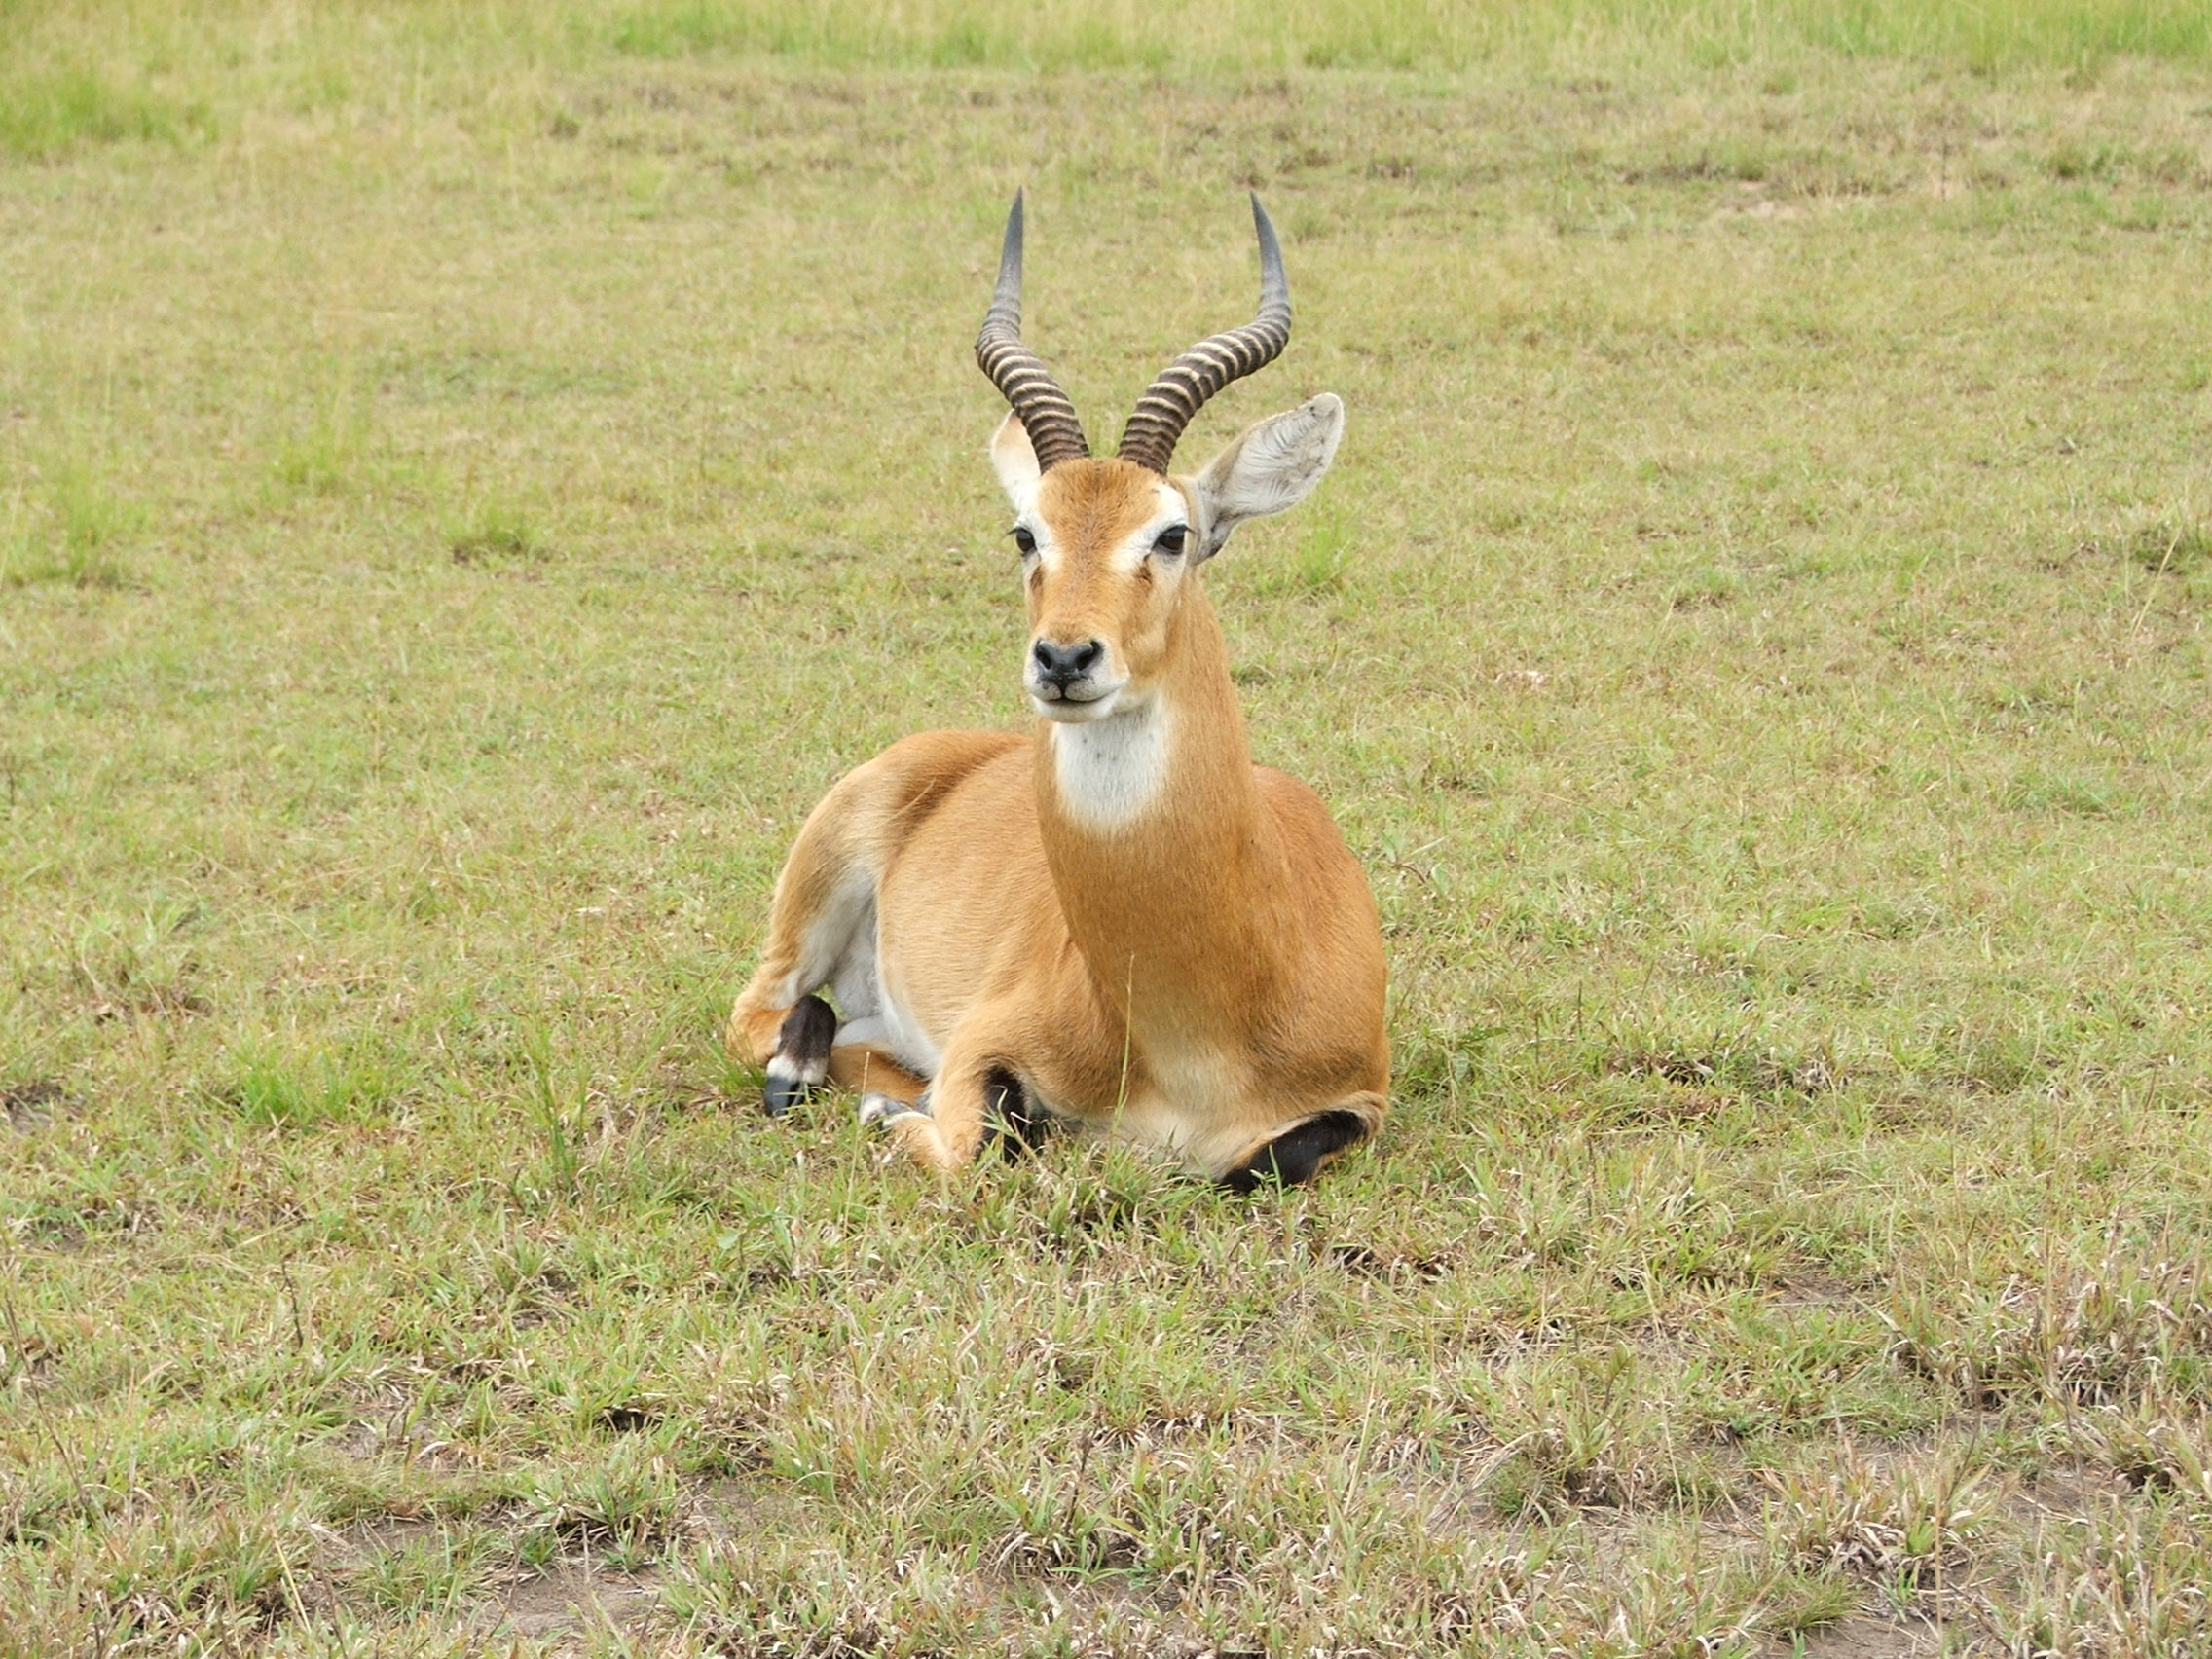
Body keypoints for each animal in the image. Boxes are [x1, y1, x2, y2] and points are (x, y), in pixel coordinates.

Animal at [720, 191, 1380, 1185]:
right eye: (1026, 533)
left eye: (1173, 534)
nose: (1065, 660)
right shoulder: (980, 1045)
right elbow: (981, 1141)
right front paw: (893, 1118)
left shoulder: (1361, 1100)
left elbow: (1261, 1161)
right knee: (760, 1016)